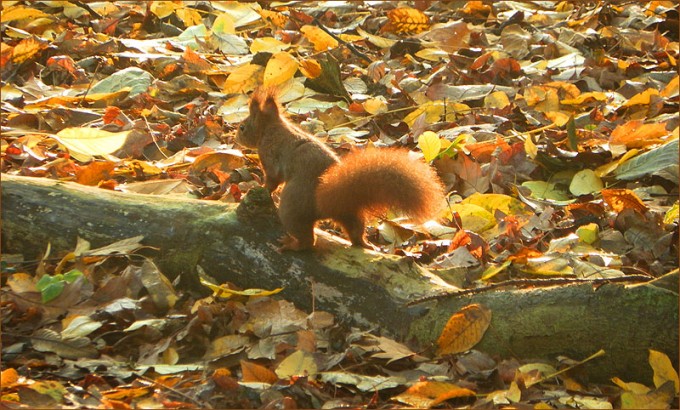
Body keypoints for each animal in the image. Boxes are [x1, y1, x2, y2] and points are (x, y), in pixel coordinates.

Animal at [236, 87, 446, 251]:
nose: (235, 138)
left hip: (291, 207)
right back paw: (364, 243)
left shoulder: (270, 156)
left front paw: (259, 188)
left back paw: (292, 245)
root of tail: (327, 201)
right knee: (355, 229)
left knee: (308, 240)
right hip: (349, 212)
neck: (271, 128)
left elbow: (272, 180)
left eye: (242, 128)